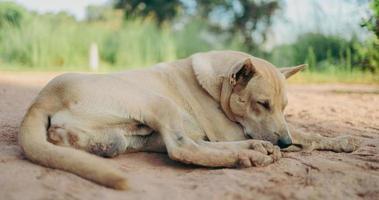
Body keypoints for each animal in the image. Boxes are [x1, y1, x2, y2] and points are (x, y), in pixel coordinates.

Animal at [18, 50, 362, 189]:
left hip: (136, 135)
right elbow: (302, 133)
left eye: (284, 107)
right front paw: (315, 142)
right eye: (262, 104)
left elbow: (303, 131)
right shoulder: (229, 130)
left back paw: (253, 151)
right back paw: (247, 155)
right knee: (184, 149)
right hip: (158, 103)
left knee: (190, 145)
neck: (218, 84)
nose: (284, 142)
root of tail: (41, 99)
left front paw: (338, 141)